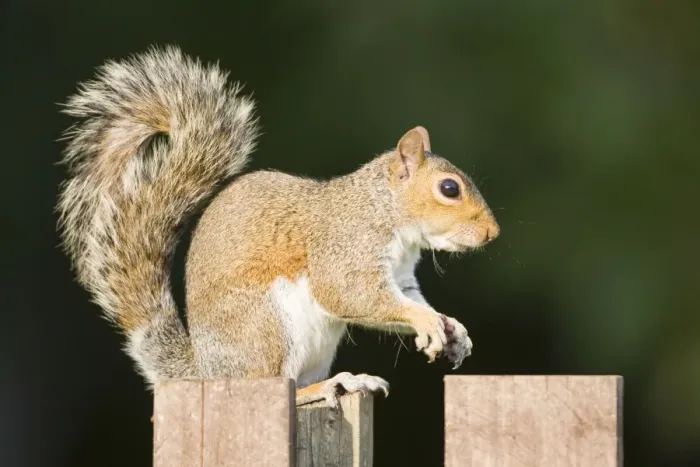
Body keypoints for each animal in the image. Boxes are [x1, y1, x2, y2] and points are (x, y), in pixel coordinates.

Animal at [56, 45, 500, 407]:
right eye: (449, 188)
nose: (491, 233)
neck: (383, 210)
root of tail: (206, 373)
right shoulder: (346, 246)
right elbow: (350, 292)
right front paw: (426, 322)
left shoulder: (401, 274)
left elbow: (408, 297)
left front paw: (451, 328)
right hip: (267, 327)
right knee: (275, 384)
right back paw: (329, 385)